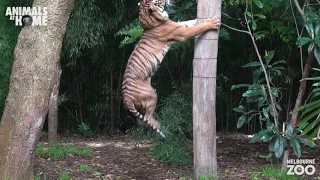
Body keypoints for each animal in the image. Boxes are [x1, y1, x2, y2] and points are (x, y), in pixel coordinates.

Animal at [121, 0, 221, 139]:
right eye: (158, 1)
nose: (166, 0)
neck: (150, 20)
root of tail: (126, 97)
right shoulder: (181, 32)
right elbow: (196, 28)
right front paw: (212, 23)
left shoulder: (179, 25)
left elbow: (190, 21)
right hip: (152, 94)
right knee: (147, 118)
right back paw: (160, 127)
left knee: (141, 121)